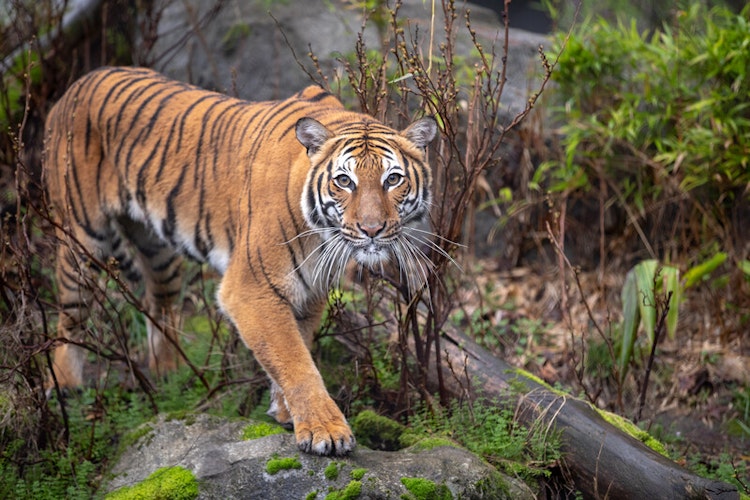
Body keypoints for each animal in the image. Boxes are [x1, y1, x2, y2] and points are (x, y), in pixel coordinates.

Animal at [41, 66, 438, 458]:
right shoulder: (251, 288)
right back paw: (64, 388)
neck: (321, 236)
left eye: (393, 179)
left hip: (159, 252)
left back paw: (168, 374)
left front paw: (284, 412)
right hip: (83, 239)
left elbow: (297, 346)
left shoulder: (310, 291)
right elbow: (295, 360)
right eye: (344, 181)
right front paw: (324, 429)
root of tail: (74, 87)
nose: (372, 229)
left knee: (159, 305)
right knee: (70, 317)